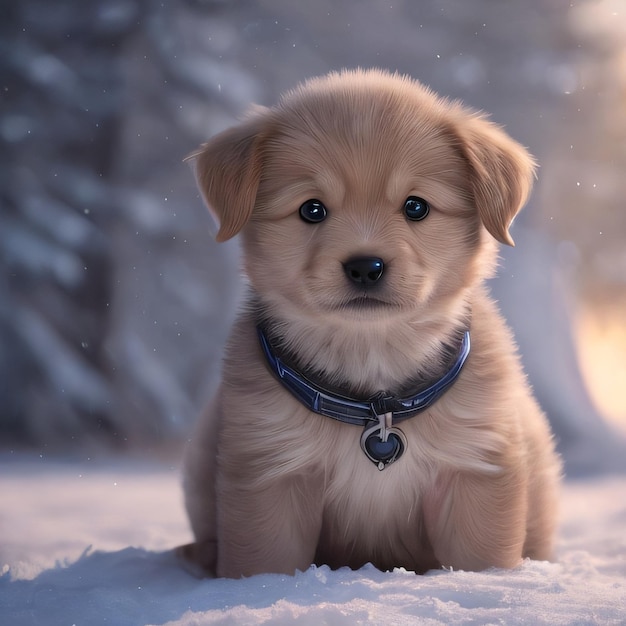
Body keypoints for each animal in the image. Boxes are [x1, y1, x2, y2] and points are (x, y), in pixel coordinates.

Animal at [179, 67, 556, 576]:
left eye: (416, 206)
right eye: (312, 209)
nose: (365, 266)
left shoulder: (475, 473)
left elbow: (480, 560)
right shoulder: (270, 473)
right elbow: (265, 566)